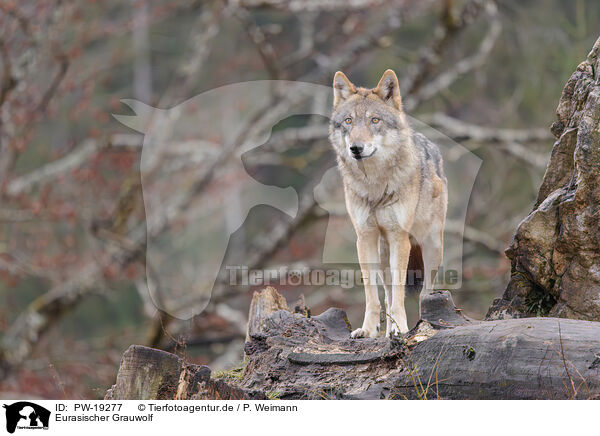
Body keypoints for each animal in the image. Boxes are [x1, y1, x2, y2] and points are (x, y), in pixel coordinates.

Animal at [328, 70, 446, 338]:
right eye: (349, 121)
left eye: (375, 120)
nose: (356, 148)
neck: (375, 184)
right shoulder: (365, 237)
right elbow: (373, 295)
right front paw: (368, 330)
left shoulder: (399, 237)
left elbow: (401, 295)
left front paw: (401, 328)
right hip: (383, 255)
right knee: (388, 292)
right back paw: (387, 330)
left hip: (431, 246)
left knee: (425, 293)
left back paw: (417, 324)